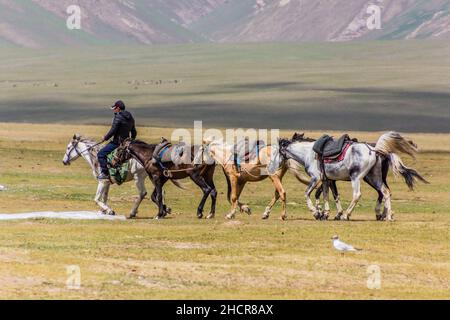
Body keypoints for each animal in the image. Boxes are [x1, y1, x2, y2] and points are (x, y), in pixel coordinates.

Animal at [268, 131, 428, 221]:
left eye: (276, 152)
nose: (271, 168)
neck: (308, 153)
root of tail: (375, 150)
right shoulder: (327, 180)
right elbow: (328, 195)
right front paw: (325, 213)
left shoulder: (317, 178)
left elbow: (308, 193)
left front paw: (317, 212)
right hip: (373, 177)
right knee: (385, 192)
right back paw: (387, 216)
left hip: (356, 177)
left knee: (358, 195)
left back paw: (348, 215)